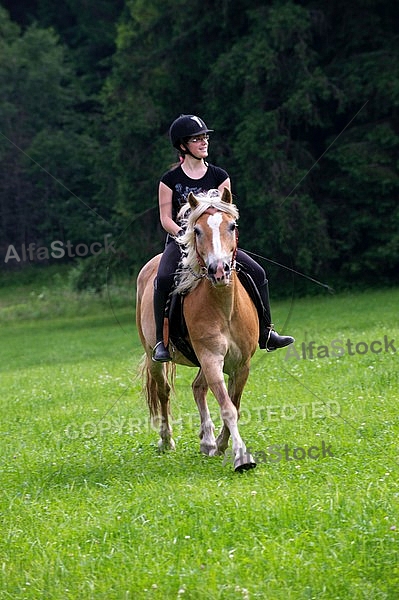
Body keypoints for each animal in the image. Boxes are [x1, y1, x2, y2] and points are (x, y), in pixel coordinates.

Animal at [137, 190, 260, 472]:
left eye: (232, 225)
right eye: (197, 230)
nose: (219, 270)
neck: (224, 307)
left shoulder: (241, 365)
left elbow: (235, 405)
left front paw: (222, 444)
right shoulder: (211, 358)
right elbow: (227, 407)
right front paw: (241, 456)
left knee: (197, 387)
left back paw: (208, 441)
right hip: (154, 356)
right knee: (163, 392)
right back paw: (167, 441)